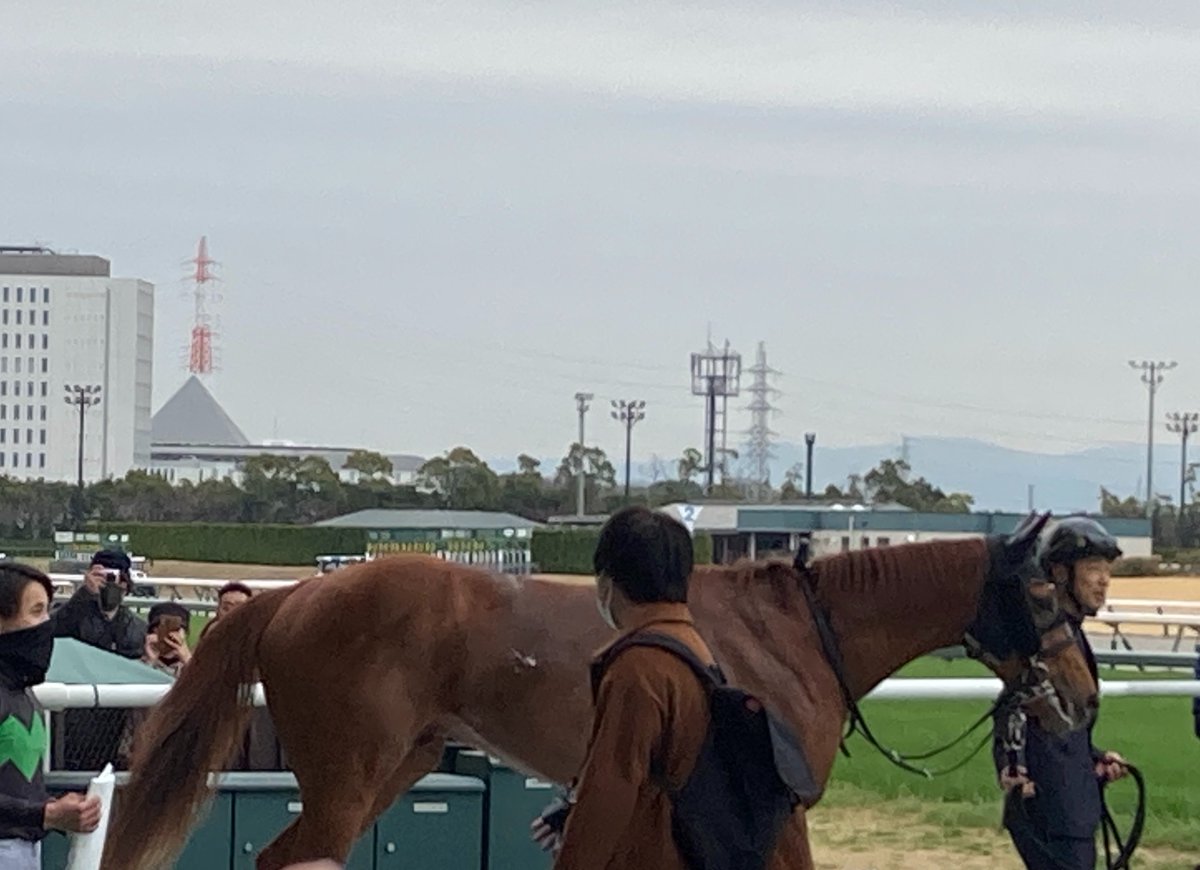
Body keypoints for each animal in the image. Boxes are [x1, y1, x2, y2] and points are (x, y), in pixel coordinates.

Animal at [102, 521, 1098, 870]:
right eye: (1047, 596)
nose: (1084, 694)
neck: (794, 633)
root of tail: (292, 597)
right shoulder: (777, 803)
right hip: (348, 777)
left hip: (394, 766)